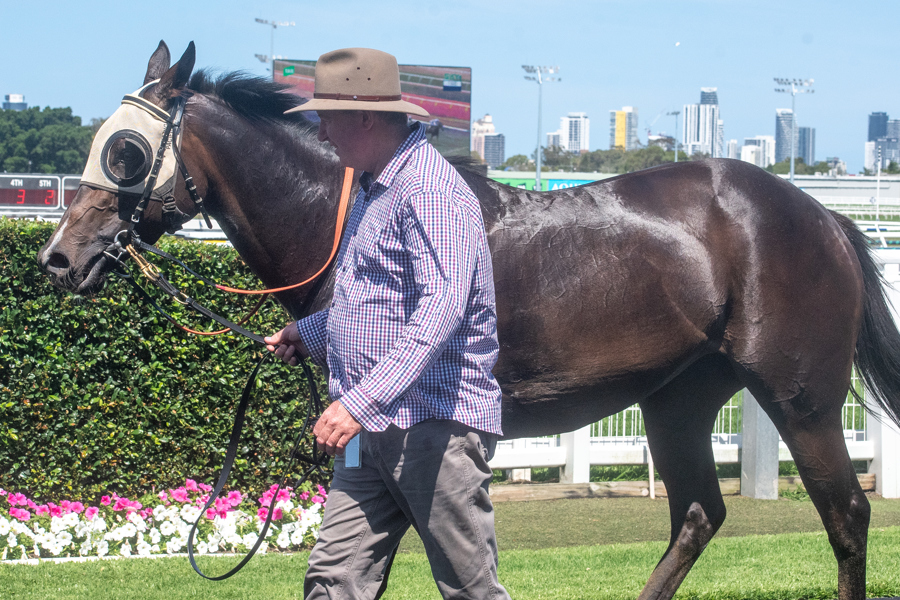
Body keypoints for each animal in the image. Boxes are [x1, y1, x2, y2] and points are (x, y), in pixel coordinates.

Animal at [37, 41, 900, 600]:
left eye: (123, 151)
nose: (57, 257)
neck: (340, 218)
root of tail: (823, 216)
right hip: (677, 396)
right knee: (696, 512)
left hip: (800, 397)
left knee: (847, 514)